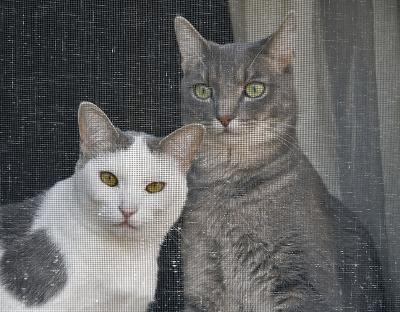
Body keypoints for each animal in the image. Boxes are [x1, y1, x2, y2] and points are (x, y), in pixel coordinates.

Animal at [173, 12, 386, 312]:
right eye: (203, 91)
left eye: (254, 89)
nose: (224, 116)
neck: (228, 190)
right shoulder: (201, 280)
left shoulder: (303, 284)